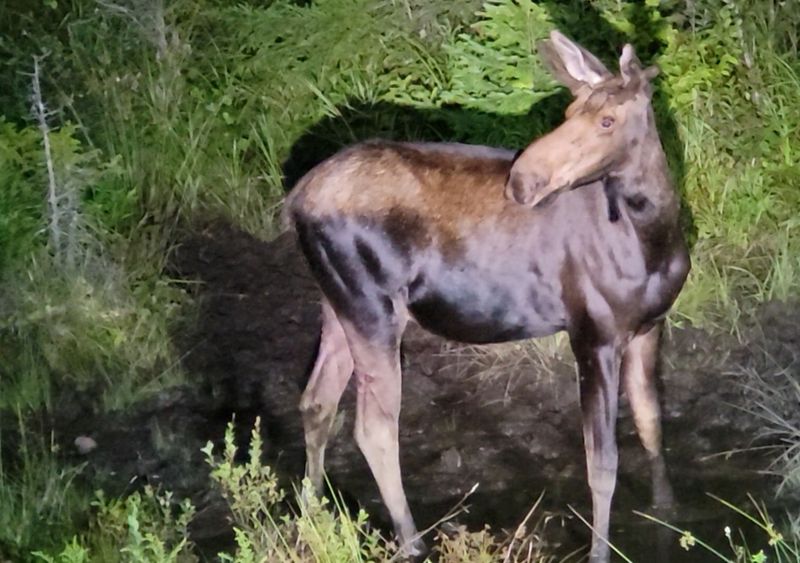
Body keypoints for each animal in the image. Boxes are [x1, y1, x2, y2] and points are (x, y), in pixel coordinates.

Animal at [282, 30, 690, 562]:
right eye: (567, 111)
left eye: (607, 120)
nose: (522, 180)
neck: (653, 239)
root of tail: (294, 200)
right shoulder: (593, 333)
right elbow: (602, 464)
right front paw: (601, 551)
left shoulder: (649, 326)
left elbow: (651, 422)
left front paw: (668, 511)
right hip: (372, 306)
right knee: (373, 427)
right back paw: (411, 540)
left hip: (337, 305)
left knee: (317, 400)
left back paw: (312, 512)